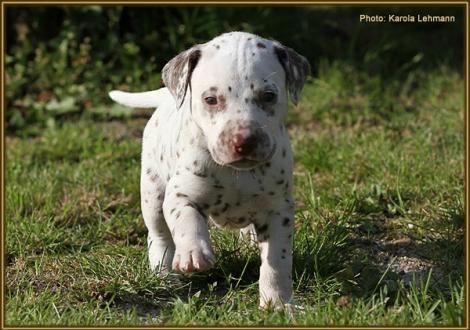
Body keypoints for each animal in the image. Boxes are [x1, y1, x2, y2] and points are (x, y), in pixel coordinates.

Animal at [108, 32, 310, 308]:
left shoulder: (278, 211)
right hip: (152, 193)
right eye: (211, 100)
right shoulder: (180, 195)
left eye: (268, 96)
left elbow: (276, 263)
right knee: (159, 236)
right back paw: (163, 275)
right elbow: (187, 221)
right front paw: (194, 253)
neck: (236, 173)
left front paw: (277, 304)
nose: (244, 140)